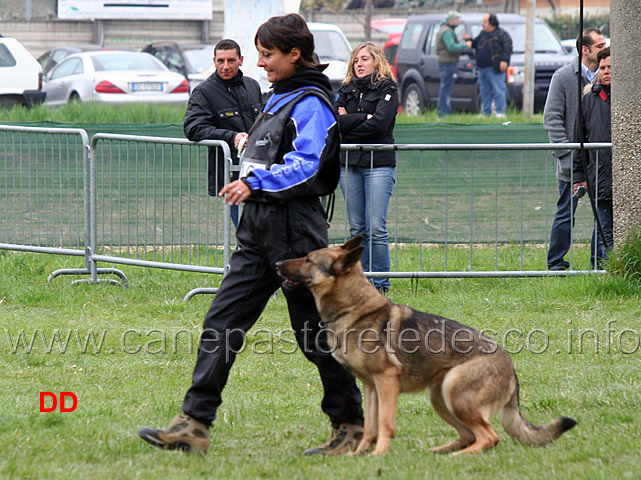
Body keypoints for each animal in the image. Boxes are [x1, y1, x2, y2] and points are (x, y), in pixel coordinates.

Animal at [274, 238, 576, 456]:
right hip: (439, 397)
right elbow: (370, 426)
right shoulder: (372, 387)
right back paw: (441, 451)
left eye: (308, 259)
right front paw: (358, 454)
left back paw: (459, 457)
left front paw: (378, 455)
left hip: (455, 395)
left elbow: (385, 423)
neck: (354, 308)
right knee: (469, 435)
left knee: (490, 436)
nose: (276, 262)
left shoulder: (386, 381)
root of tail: (510, 366)